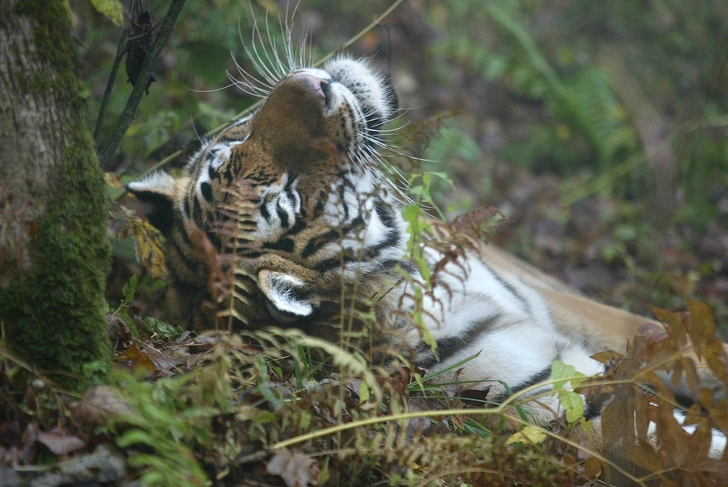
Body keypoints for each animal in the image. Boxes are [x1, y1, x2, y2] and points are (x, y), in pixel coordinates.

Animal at [126, 51, 728, 464]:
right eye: (290, 196)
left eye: (234, 143)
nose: (315, 84)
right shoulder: (556, 397)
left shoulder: (564, 306)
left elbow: (676, 341)